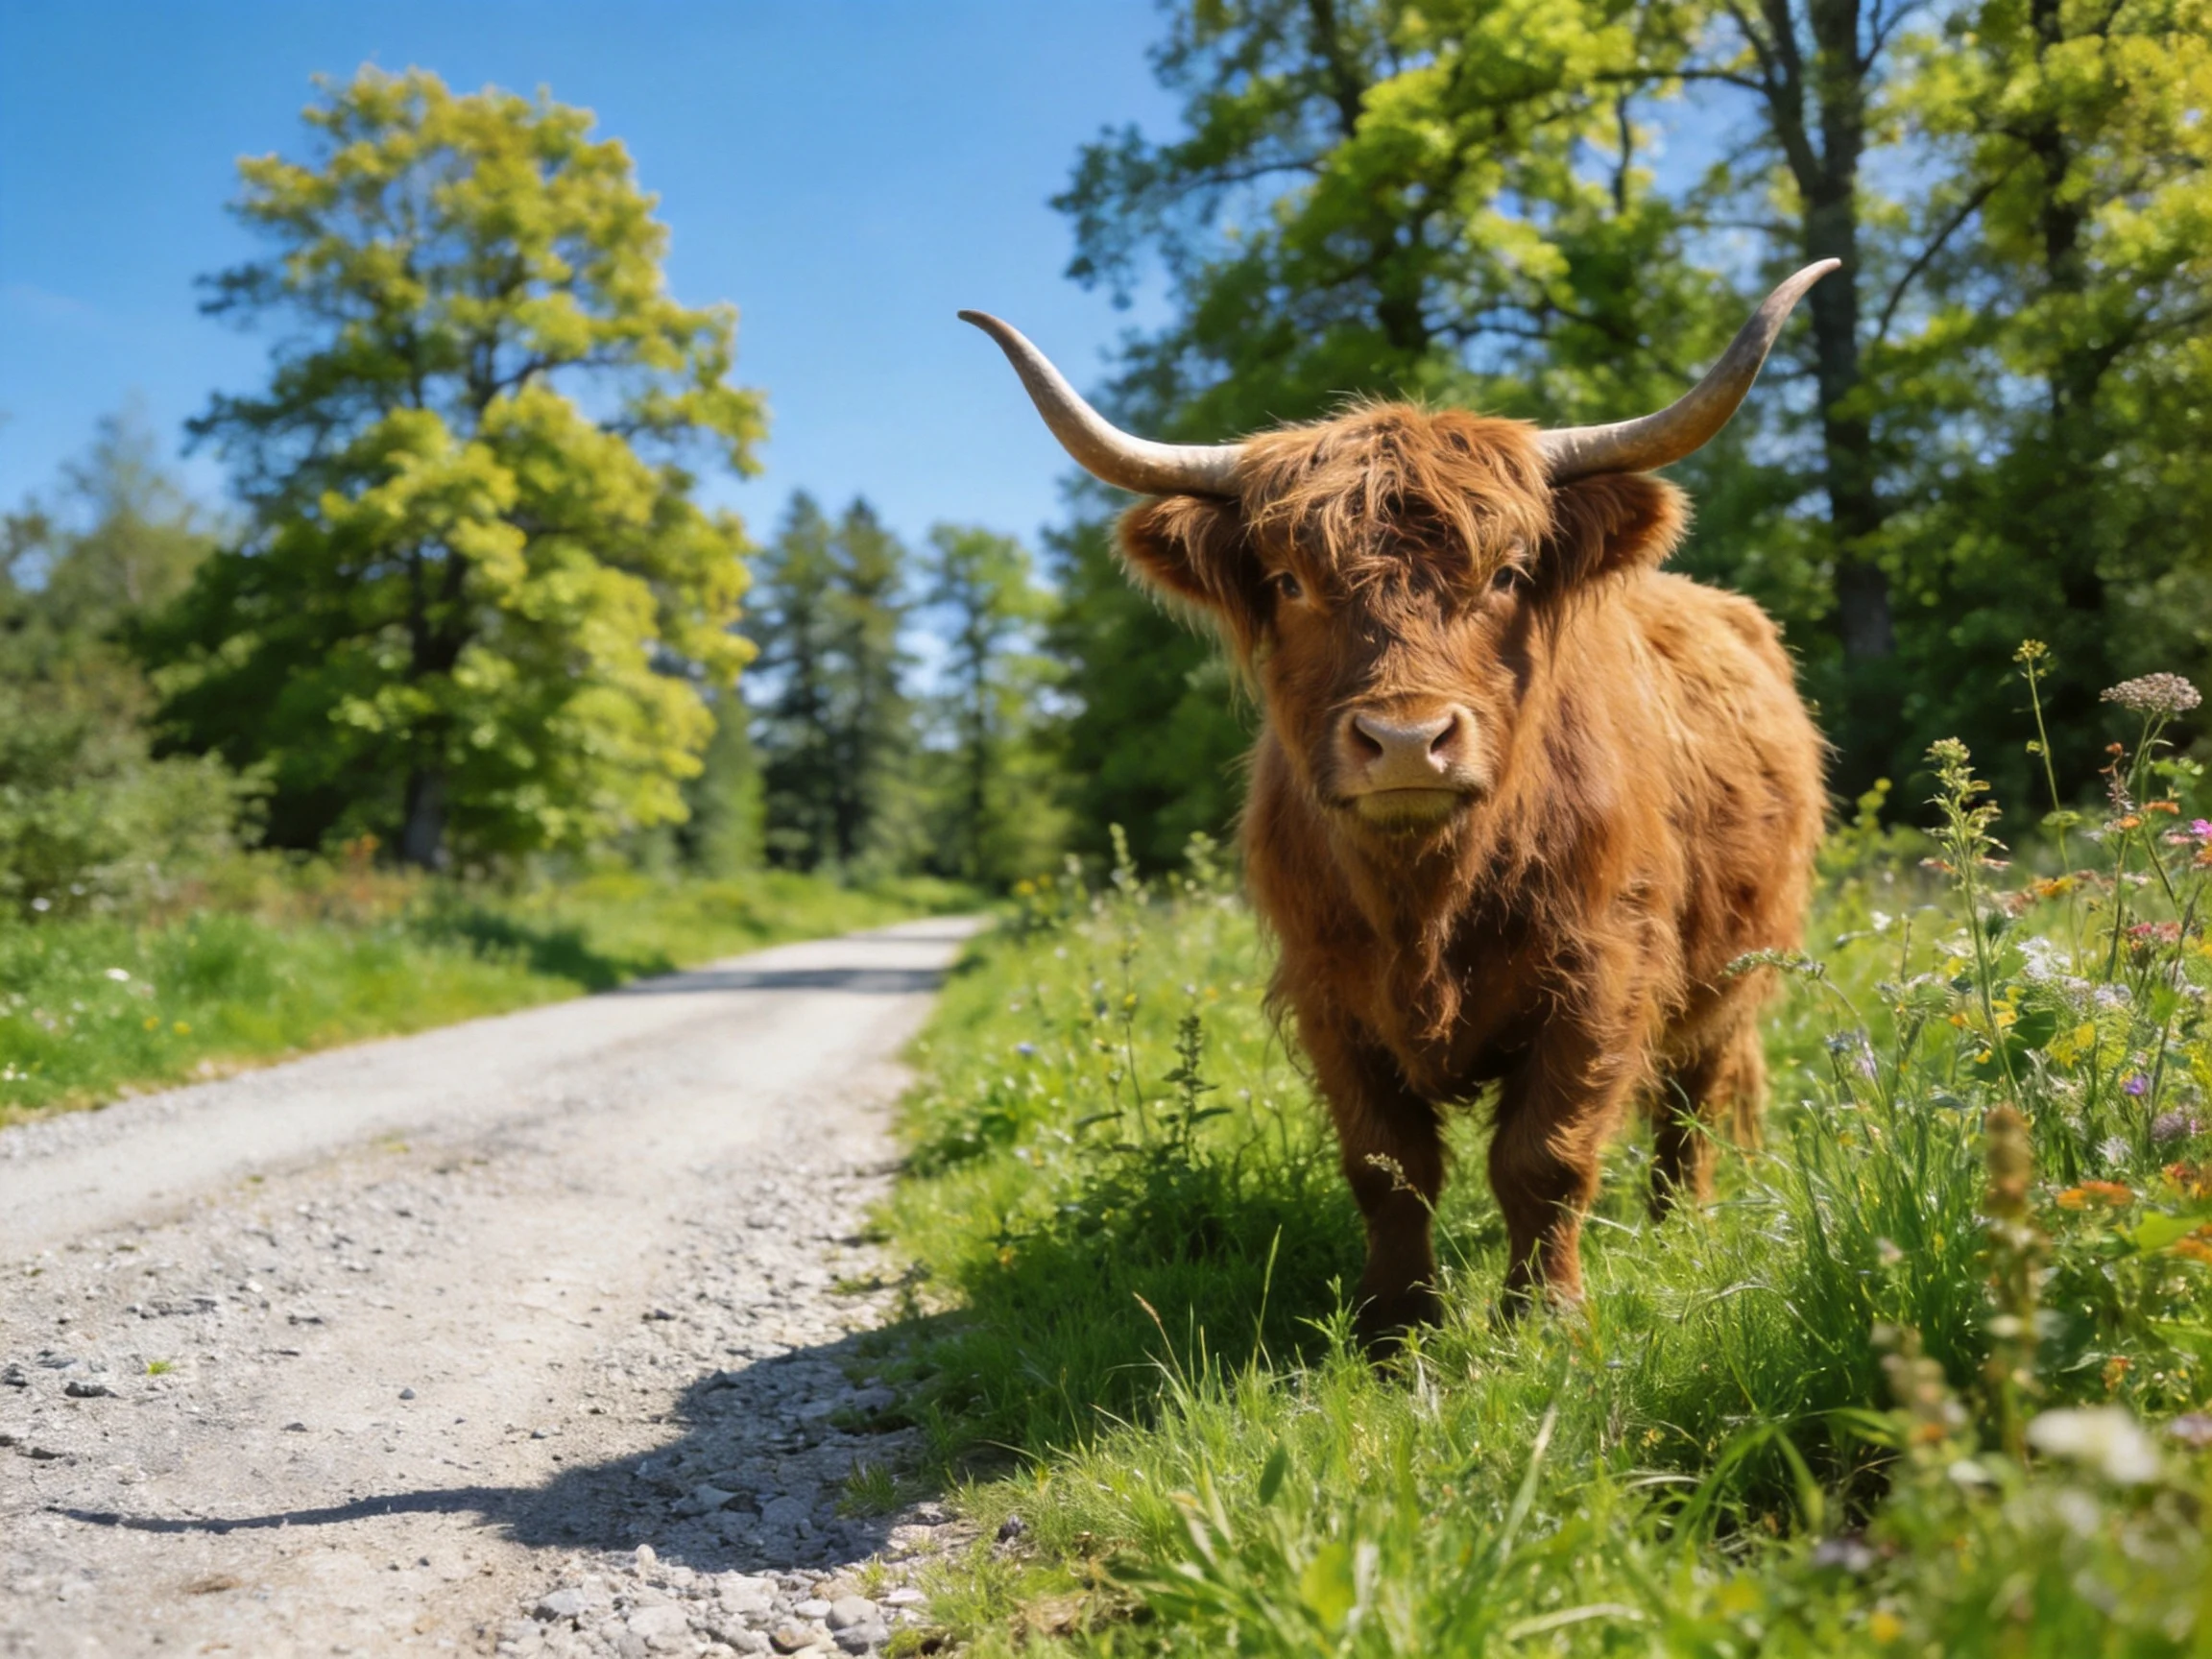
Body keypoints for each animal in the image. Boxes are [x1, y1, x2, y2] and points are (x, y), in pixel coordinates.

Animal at [962, 265, 1832, 1346]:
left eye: (1506, 573)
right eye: (1290, 582)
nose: (1409, 741)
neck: (1428, 896)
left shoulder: (1602, 968)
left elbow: (1545, 1156)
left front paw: (1544, 1318)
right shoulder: (1329, 988)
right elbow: (1388, 1167)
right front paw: (1396, 1327)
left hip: (1731, 967)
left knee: (1694, 1097)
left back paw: (1685, 1227)